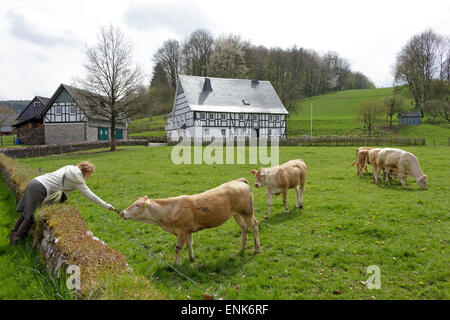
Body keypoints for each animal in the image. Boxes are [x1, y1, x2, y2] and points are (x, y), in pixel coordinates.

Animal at [120, 179, 260, 266]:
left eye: (137, 205)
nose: (122, 212)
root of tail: (239, 181)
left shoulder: (182, 231)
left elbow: (178, 248)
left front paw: (175, 264)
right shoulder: (187, 230)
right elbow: (189, 244)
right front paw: (191, 258)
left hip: (247, 212)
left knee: (254, 226)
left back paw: (257, 249)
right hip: (236, 214)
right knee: (244, 227)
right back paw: (243, 248)